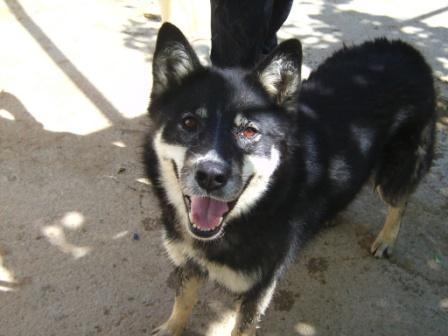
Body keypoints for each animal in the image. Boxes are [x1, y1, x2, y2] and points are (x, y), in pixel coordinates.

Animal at [145, 22, 436, 334]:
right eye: (189, 123)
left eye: (249, 131)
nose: (210, 176)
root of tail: (406, 49)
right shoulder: (189, 263)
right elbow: (183, 299)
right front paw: (172, 327)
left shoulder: (259, 286)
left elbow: (242, 326)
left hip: (395, 170)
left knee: (400, 202)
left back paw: (386, 239)